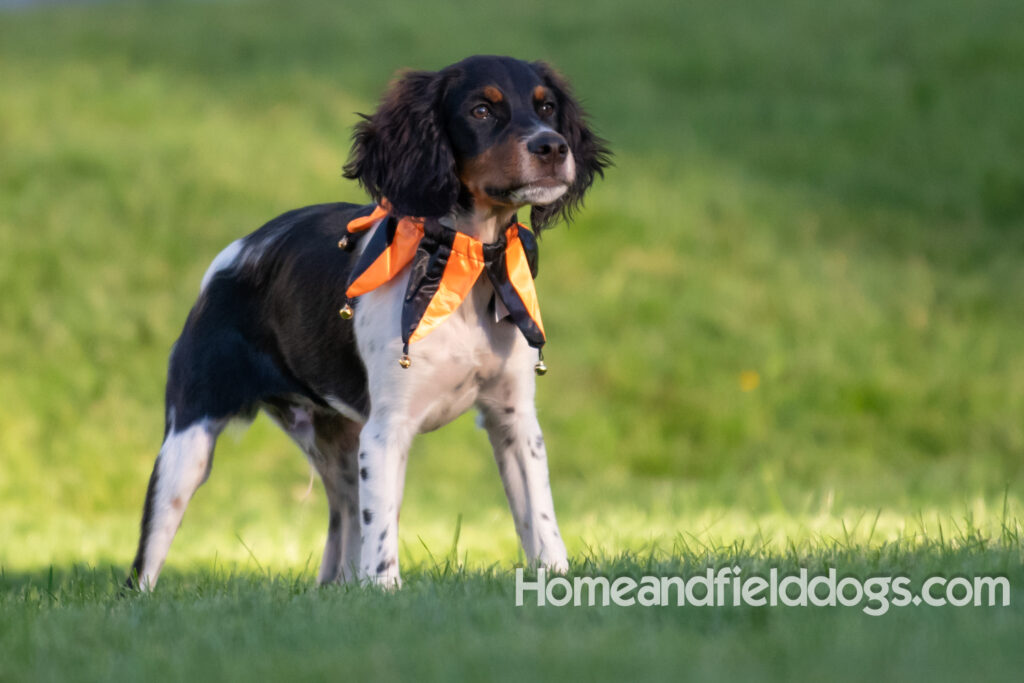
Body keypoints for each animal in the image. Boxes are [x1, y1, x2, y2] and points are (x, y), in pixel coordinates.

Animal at [125, 54, 606, 589]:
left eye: (546, 107)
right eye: (481, 110)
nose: (553, 146)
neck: (464, 261)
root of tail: (235, 253)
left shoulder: (514, 417)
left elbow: (540, 520)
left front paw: (560, 579)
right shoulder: (387, 430)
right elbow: (382, 537)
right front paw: (387, 590)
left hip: (338, 445)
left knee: (344, 524)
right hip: (186, 443)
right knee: (144, 565)